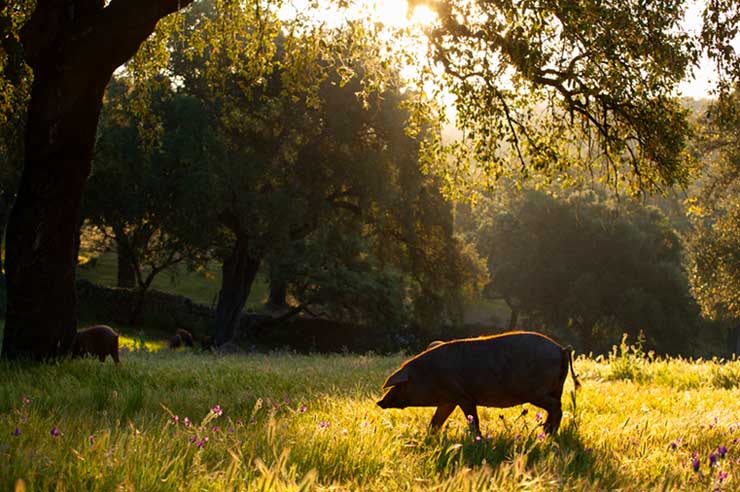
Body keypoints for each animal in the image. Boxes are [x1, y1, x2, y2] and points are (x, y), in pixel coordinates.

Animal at [377, 331, 580, 434]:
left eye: (400, 384)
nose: (379, 402)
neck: (429, 375)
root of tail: (562, 349)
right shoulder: (448, 400)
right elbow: (436, 421)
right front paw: (428, 436)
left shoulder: (463, 397)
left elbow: (473, 420)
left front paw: (477, 439)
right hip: (556, 388)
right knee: (555, 407)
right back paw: (545, 432)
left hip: (535, 392)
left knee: (556, 407)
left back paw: (547, 434)